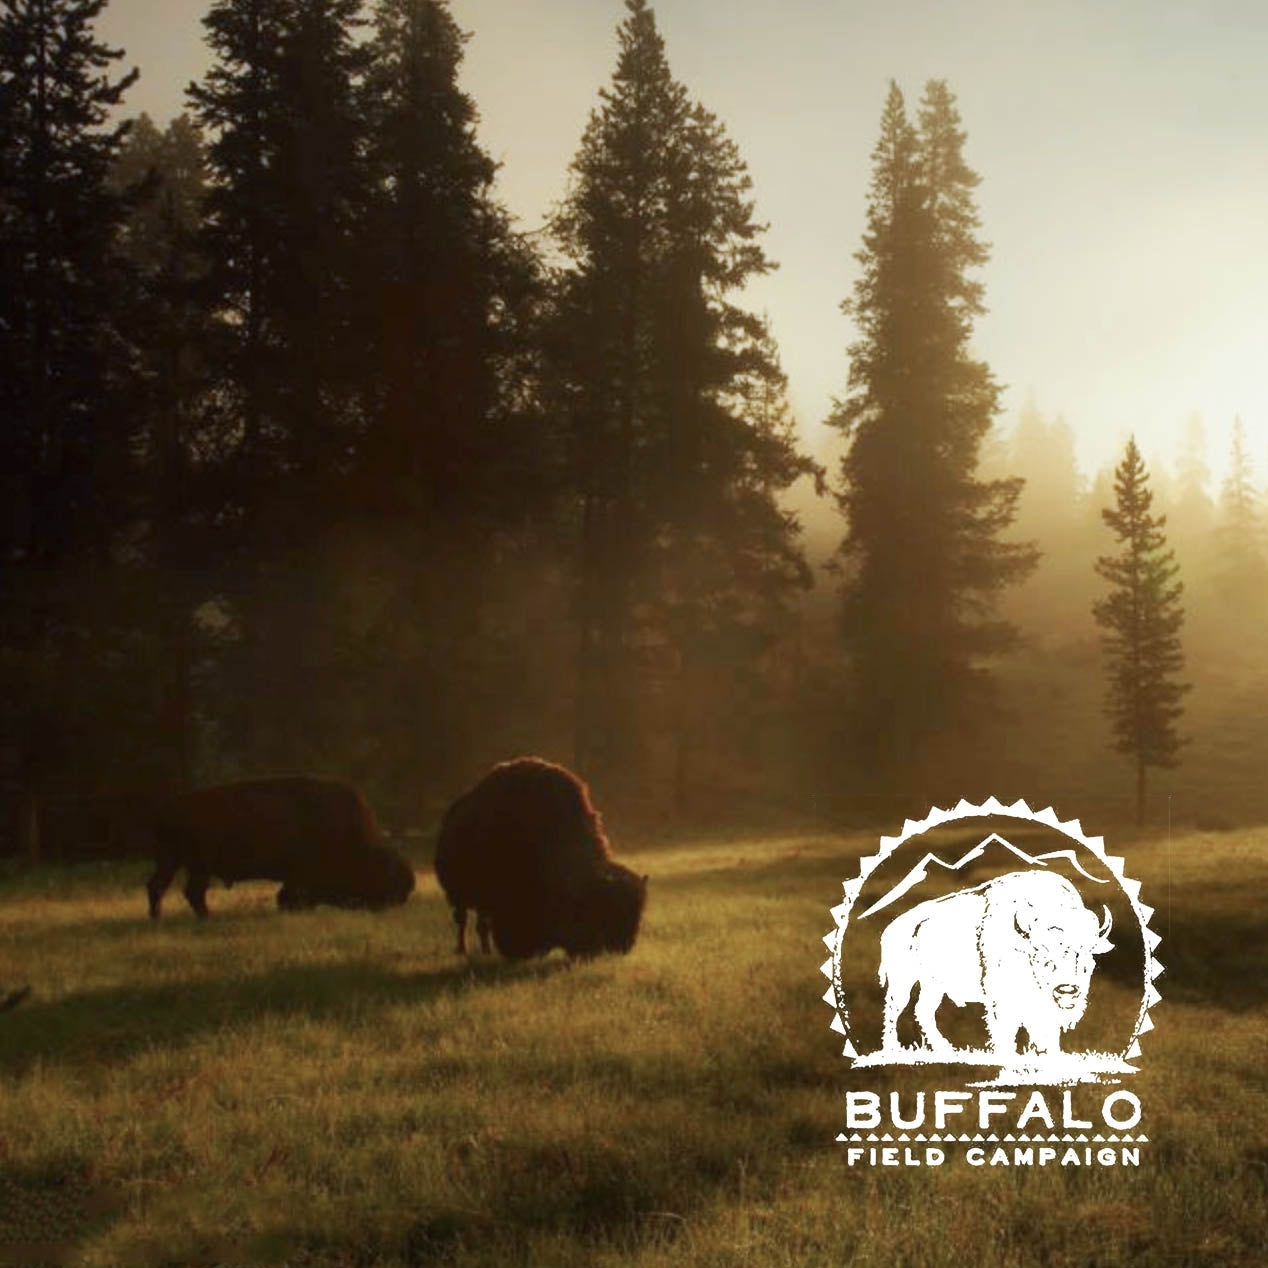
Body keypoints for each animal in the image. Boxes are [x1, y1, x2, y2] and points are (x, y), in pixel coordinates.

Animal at [147, 776, 415, 918]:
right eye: (386, 880)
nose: (395, 903)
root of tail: (167, 807)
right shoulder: (300, 878)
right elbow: (290, 896)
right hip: (196, 865)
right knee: (187, 891)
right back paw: (202, 918)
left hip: (174, 861)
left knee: (161, 886)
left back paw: (160, 918)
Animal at [438, 755, 654, 953]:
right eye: (608, 910)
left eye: (638, 913)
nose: (625, 946)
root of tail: (452, 814)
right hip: (458, 894)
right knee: (463, 920)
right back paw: (464, 950)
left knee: (480, 923)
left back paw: (485, 950)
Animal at [877, 872, 1115, 1060]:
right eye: (1041, 956)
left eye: (1086, 955)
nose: (1067, 990)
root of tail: (892, 928)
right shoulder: (1002, 997)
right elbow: (1006, 1029)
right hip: (902, 982)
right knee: (894, 1010)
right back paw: (893, 1050)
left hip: (933, 985)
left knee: (923, 1010)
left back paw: (946, 1050)